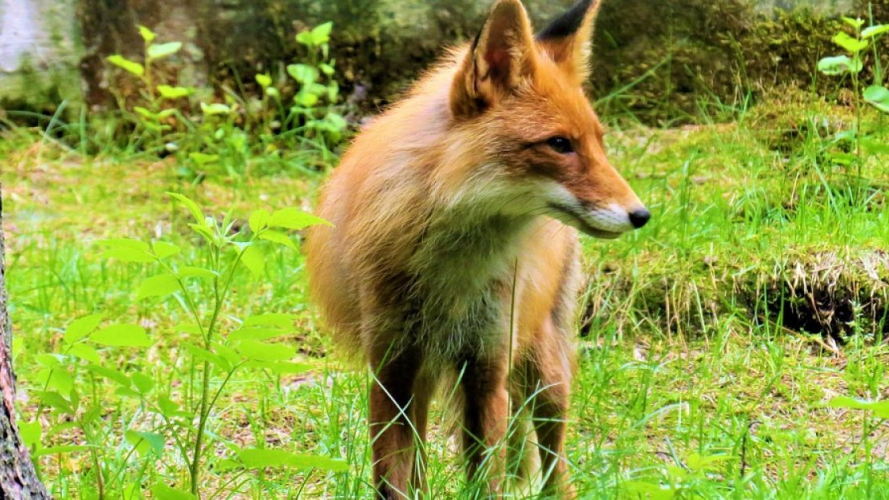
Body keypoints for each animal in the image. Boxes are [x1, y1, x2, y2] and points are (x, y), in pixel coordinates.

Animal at [304, 0, 644, 494]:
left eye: (599, 143)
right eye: (560, 144)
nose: (641, 214)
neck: (452, 274)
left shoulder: (486, 369)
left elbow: (488, 479)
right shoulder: (391, 369)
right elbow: (393, 480)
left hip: (545, 368)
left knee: (553, 458)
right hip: (426, 376)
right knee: (421, 457)